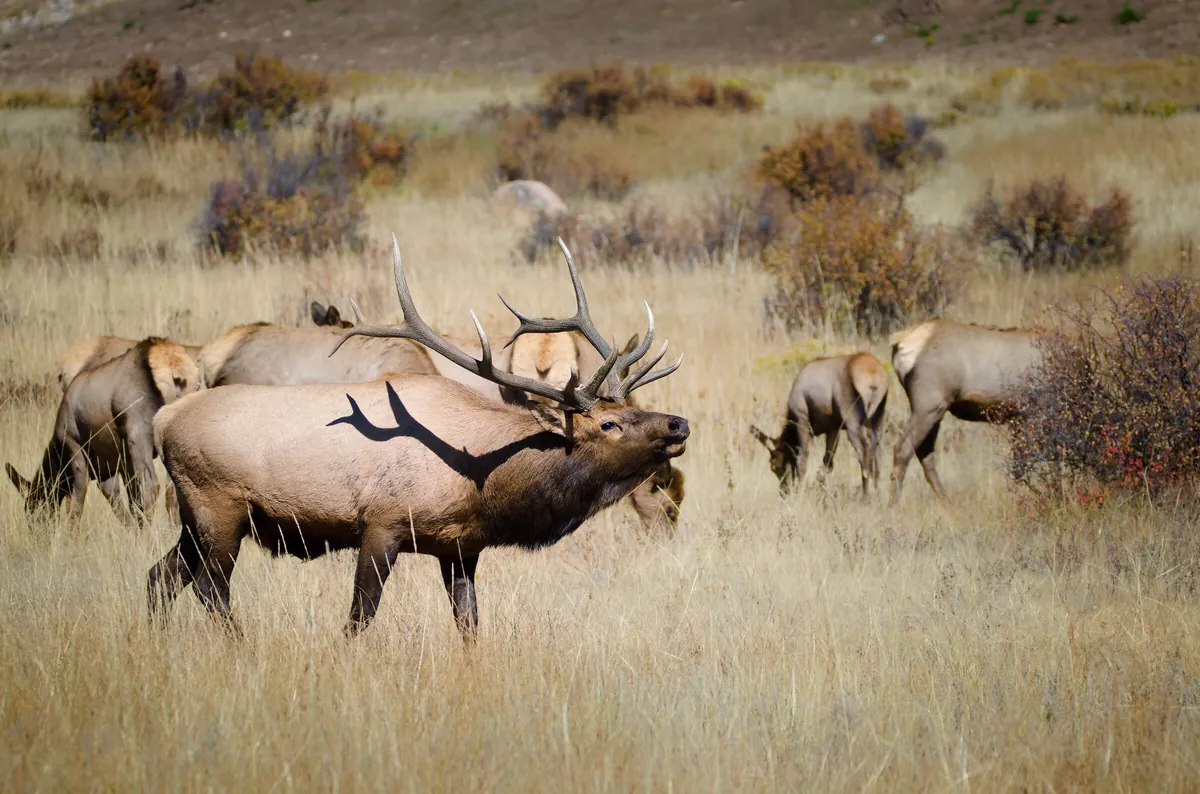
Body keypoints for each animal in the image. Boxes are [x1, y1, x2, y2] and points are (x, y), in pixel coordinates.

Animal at [7, 338, 202, 525]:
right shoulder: (120, 465)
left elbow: (77, 504)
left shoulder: (79, 452)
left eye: (32, 507)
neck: (58, 454)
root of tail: (172, 367)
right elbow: (129, 505)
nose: (38, 531)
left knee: (150, 487)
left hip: (138, 434)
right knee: (172, 492)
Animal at [750, 352, 889, 497]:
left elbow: (802, 459)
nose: (784, 491)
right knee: (876, 455)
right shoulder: (833, 429)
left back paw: (865, 496)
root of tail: (874, 375)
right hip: (876, 421)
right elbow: (828, 462)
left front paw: (800, 495)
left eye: (775, 466)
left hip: (852, 423)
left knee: (865, 452)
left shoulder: (802, 420)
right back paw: (878, 493)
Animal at [888, 318, 1041, 504]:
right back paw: (893, 505)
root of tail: (900, 343)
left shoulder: (1018, 418)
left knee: (924, 452)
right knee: (902, 449)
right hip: (929, 406)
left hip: (934, 411)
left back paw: (946, 501)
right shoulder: (1028, 413)